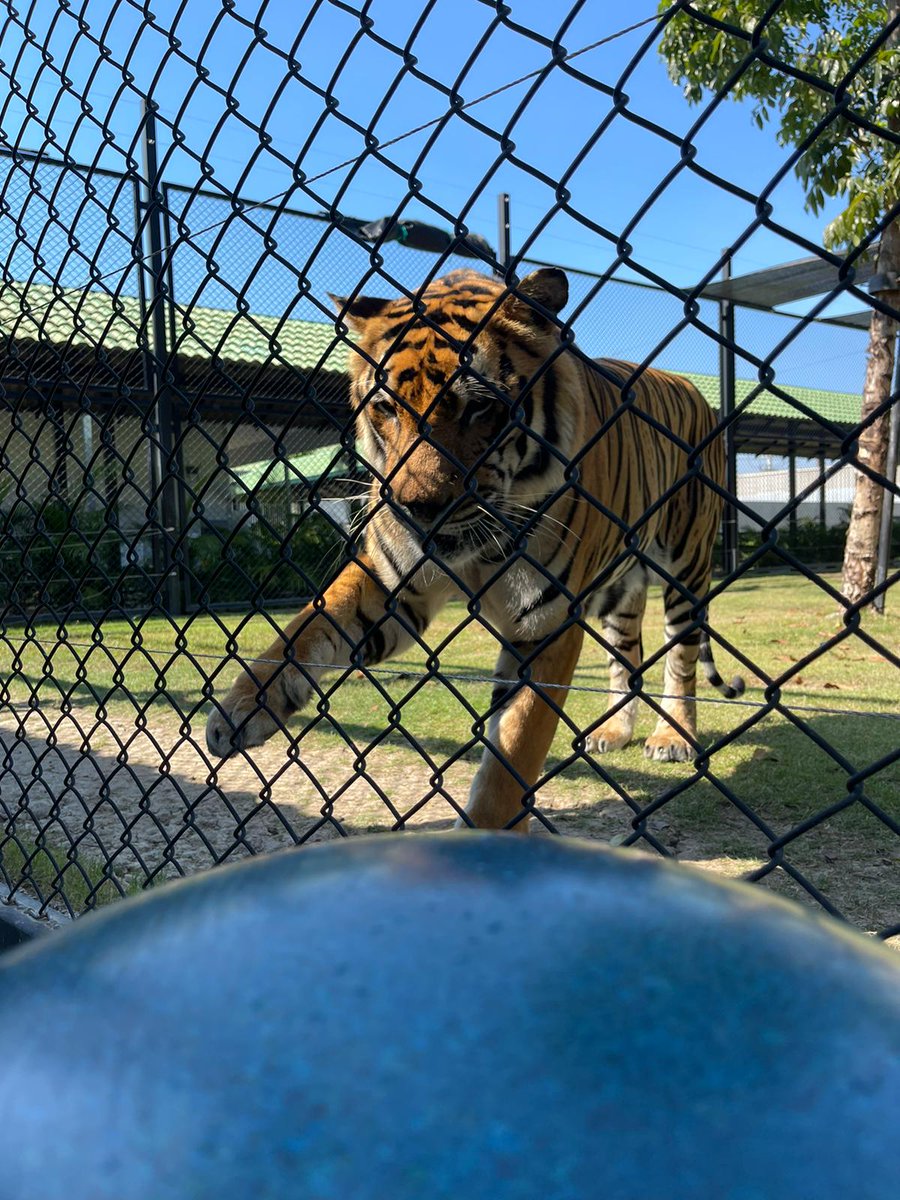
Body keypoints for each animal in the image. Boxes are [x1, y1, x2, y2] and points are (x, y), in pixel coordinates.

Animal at [205, 267, 744, 831]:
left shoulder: (546, 625)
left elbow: (514, 749)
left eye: (479, 407)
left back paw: (673, 737)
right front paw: (238, 708)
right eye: (386, 409)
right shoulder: (394, 581)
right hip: (622, 590)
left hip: (687, 564)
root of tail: (685, 384)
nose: (415, 508)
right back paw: (613, 732)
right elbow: (308, 628)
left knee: (680, 655)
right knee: (627, 653)